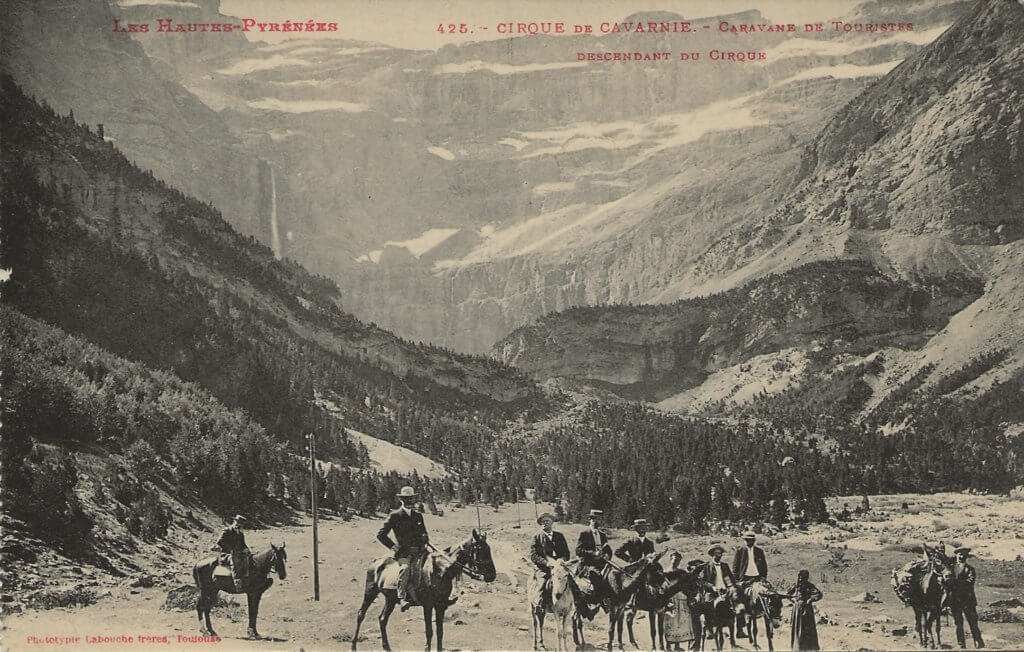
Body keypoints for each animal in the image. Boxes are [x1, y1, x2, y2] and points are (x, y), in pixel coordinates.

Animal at [352, 528, 495, 650]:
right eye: (480, 550)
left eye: (489, 549)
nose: (492, 575)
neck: (440, 571)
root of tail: (376, 562)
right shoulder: (428, 605)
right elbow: (429, 631)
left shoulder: (441, 606)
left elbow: (440, 631)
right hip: (370, 591)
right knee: (361, 614)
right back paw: (353, 645)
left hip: (390, 599)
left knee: (382, 619)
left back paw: (386, 647)